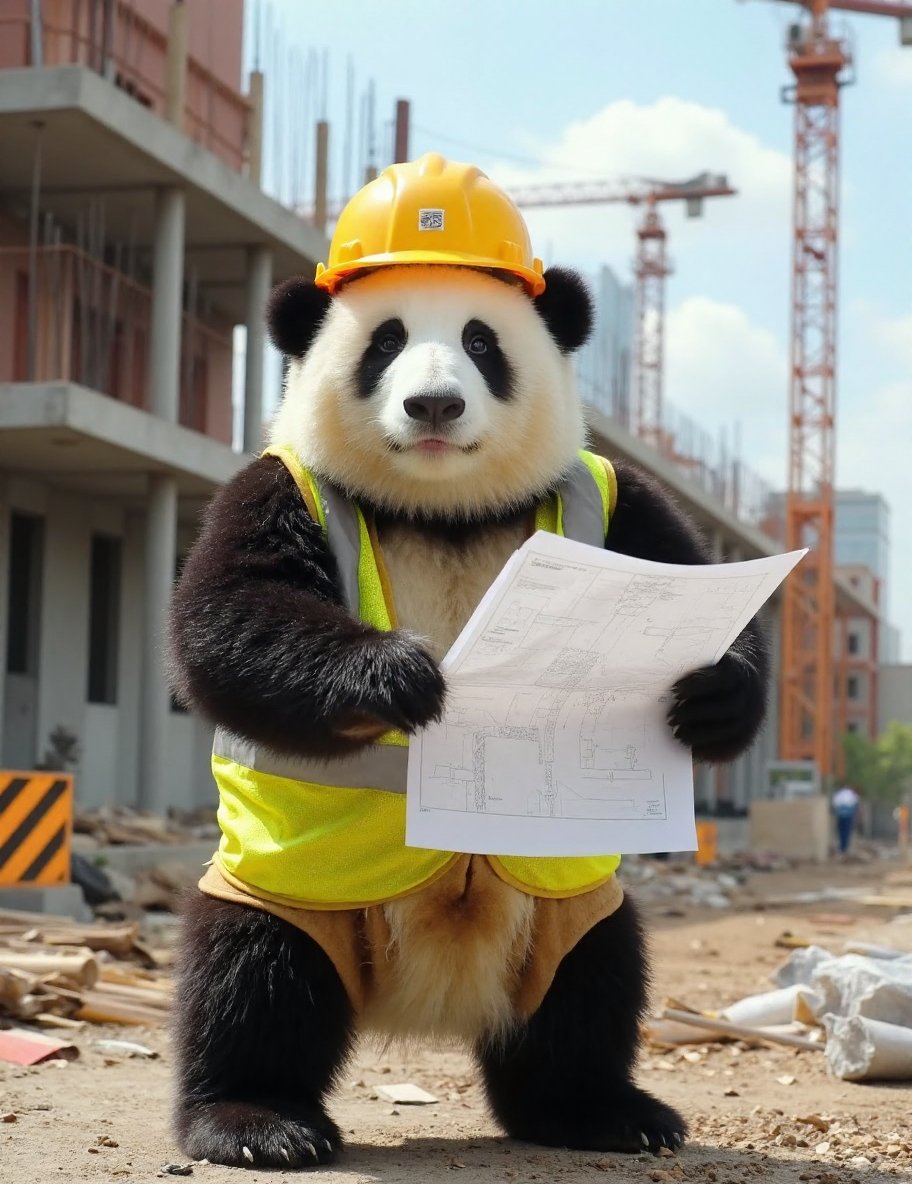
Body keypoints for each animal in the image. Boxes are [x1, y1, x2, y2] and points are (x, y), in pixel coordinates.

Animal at [170, 155, 767, 1165]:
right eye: (386, 342)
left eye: (482, 341)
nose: (435, 406)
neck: (441, 509)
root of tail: (428, 1007)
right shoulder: (277, 485)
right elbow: (224, 622)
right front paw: (395, 675)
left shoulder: (611, 491)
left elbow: (694, 578)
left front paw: (710, 693)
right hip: (291, 887)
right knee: (251, 972)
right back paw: (256, 1120)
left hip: (565, 906)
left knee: (594, 984)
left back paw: (605, 1112)